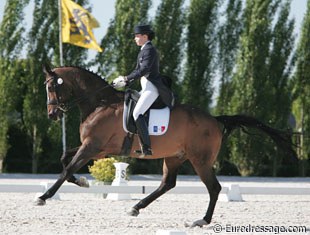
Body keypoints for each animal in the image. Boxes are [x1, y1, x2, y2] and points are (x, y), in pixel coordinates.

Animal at [37, 63, 296, 228]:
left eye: (51, 87)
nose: (51, 114)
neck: (100, 104)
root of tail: (215, 119)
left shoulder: (92, 147)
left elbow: (67, 168)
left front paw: (44, 196)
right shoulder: (95, 148)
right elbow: (64, 158)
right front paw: (81, 182)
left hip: (200, 160)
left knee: (213, 188)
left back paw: (201, 221)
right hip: (174, 157)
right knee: (167, 183)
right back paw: (136, 207)